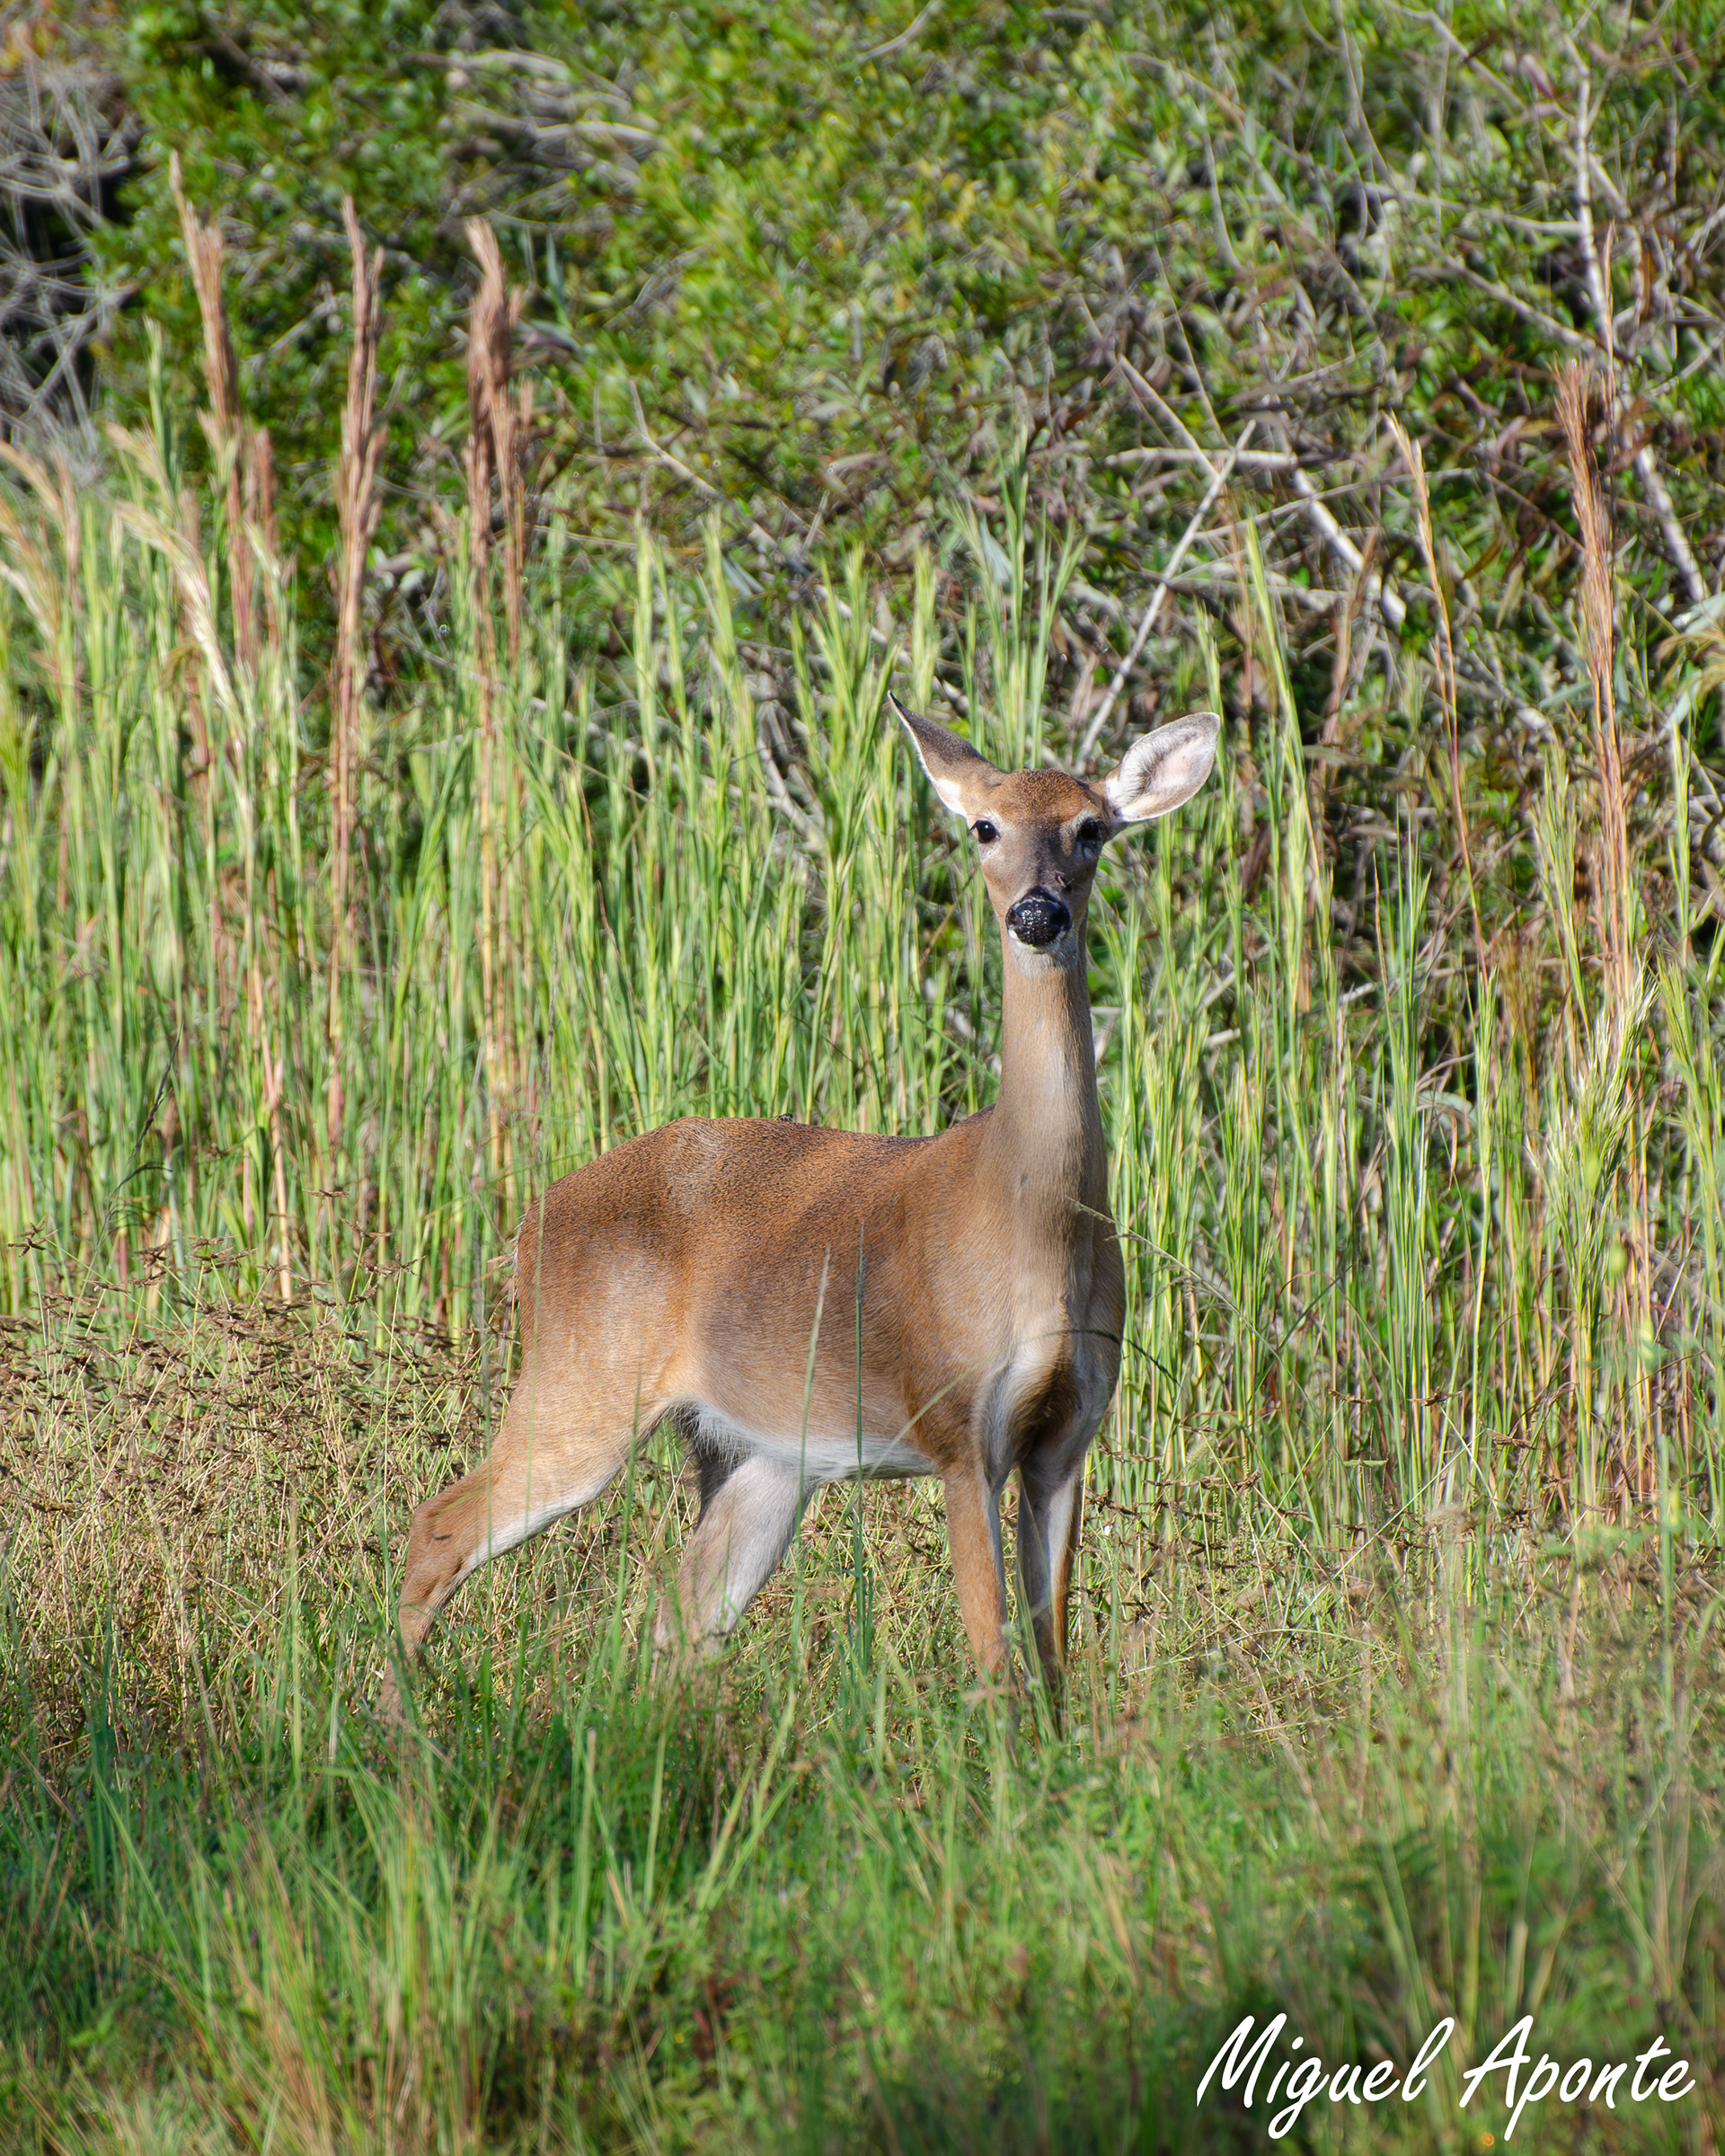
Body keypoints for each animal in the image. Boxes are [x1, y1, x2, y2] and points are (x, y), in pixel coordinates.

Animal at [377, 696, 1220, 1724]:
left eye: (1091, 829)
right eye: (985, 827)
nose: (1035, 912)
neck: (1033, 1226)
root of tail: (535, 1218)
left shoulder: (1067, 1437)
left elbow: (1052, 1658)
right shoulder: (955, 1422)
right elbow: (993, 1656)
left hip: (760, 1453)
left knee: (681, 1611)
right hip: (584, 1379)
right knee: (439, 1527)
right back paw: (396, 1731)